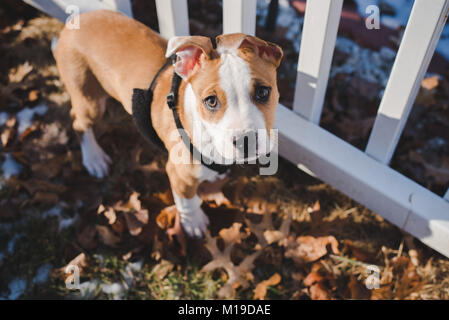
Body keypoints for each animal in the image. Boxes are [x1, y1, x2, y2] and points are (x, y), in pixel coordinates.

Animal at [54, 9, 282, 238]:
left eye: (263, 92)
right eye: (211, 101)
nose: (246, 141)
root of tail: (75, 20)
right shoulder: (180, 174)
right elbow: (188, 201)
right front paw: (193, 223)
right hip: (90, 98)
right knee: (78, 122)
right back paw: (94, 159)